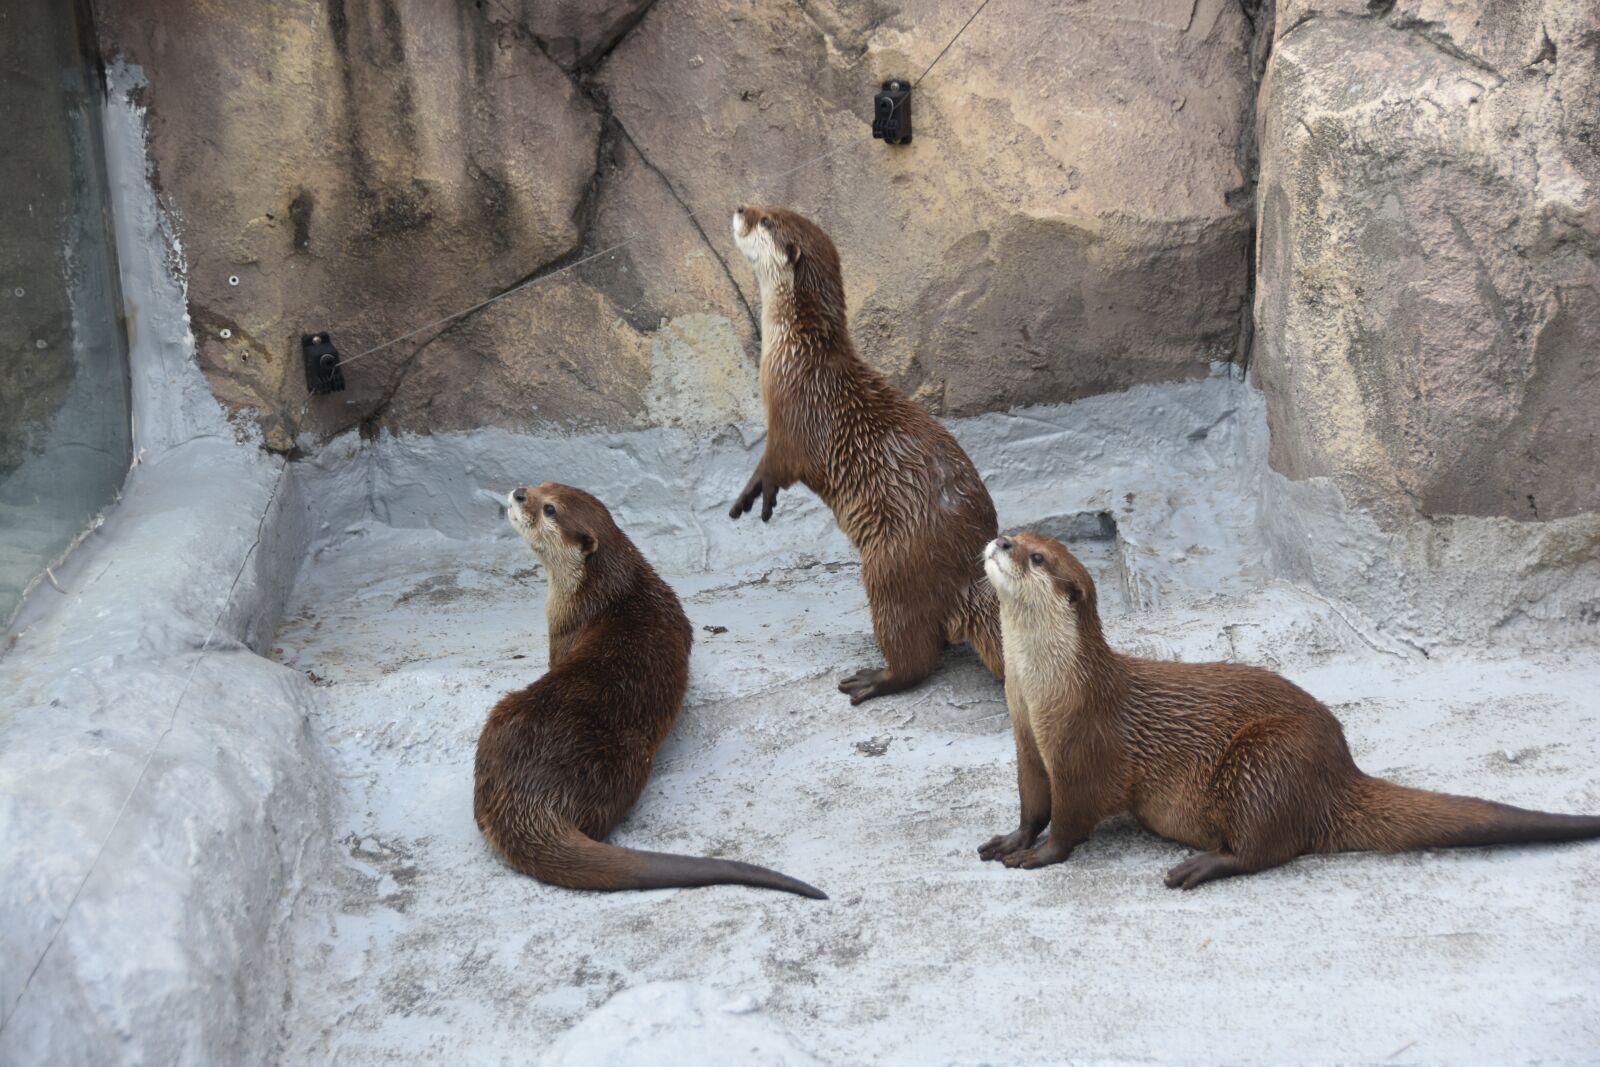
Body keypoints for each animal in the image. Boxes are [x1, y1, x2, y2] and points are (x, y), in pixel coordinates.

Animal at [474, 482, 825, 899]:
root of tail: (530, 793)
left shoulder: (562, 633)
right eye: (540, 486)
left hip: (624, 758)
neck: (605, 593)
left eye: (549, 508)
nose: (518, 493)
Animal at [729, 205, 1003, 705]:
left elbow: (775, 466)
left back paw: (874, 679)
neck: (798, 356)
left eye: (767, 221)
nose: (740, 208)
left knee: (915, 658)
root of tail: (967, 575)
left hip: (891, 569)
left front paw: (756, 495)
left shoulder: (792, 420)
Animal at [978, 531, 1600, 888]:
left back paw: (1198, 867)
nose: (1000, 542)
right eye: (1020, 533)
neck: (1045, 693)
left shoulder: (1087, 748)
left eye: (1036, 556)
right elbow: (1032, 804)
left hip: (1268, 758)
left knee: (1266, 848)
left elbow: (1071, 819)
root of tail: (1340, 773)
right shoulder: (1028, 743)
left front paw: (1040, 856)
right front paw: (1010, 840)